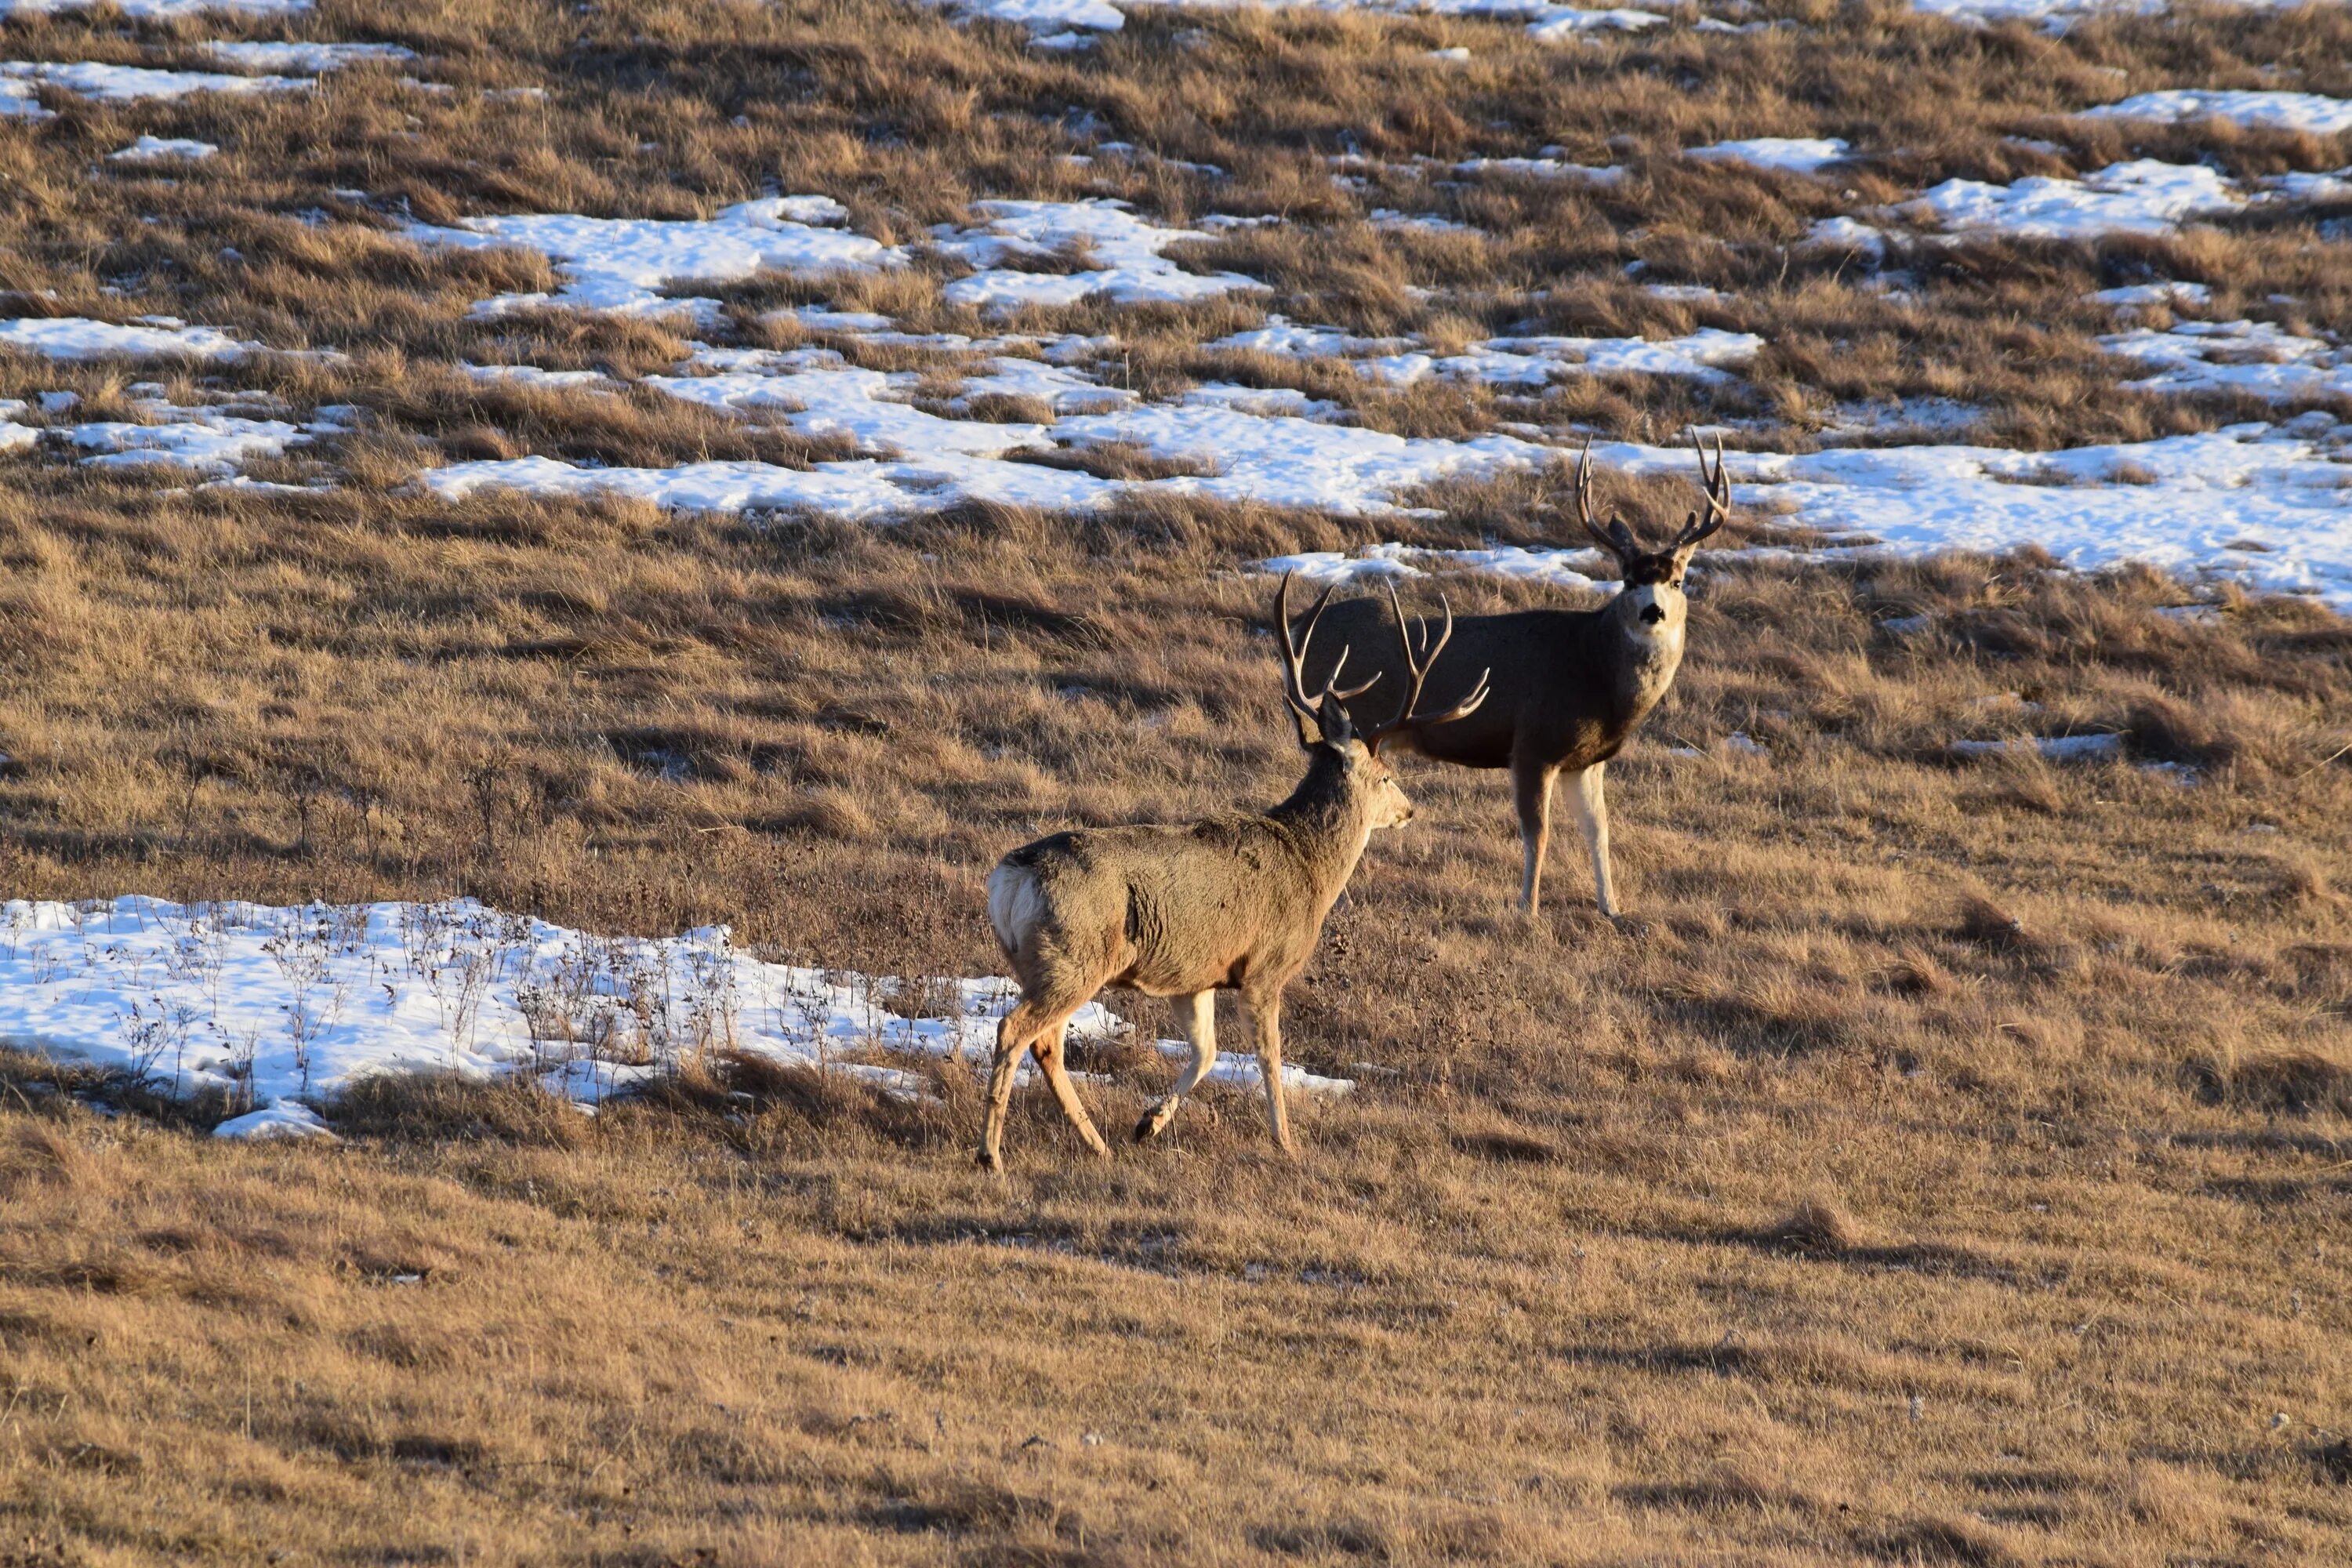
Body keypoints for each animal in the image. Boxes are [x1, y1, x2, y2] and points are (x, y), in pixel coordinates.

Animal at [974, 571, 1486, 1171]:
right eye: (1385, 775)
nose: (1409, 810)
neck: (1311, 867)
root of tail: (1011, 876)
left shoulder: (1194, 974)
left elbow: (1205, 1052)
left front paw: (1148, 1124)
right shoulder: (1266, 965)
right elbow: (1269, 1057)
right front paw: (1286, 1141)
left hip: (1040, 960)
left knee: (1046, 1042)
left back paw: (1096, 1141)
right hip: (1073, 956)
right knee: (1015, 1029)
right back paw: (991, 1155)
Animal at [1308, 430, 1731, 921]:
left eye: (1677, 581)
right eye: (1628, 580)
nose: (1653, 611)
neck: (1596, 668)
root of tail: (1302, 625)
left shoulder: (1587, 760)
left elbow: (1600, 829)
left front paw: (1612, 907)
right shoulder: (1533, 744)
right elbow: (1538, 833)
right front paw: (1527, 908)